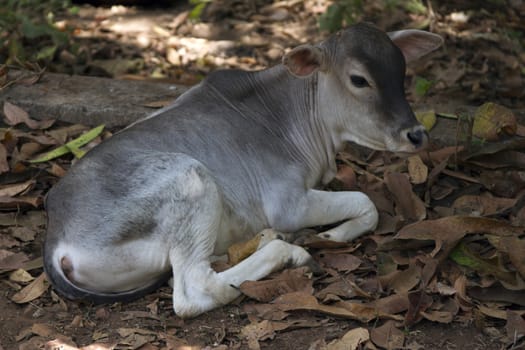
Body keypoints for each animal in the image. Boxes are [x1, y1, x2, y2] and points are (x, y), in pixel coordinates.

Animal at [43, 22, 440, 318]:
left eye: (402, 71)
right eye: (359, 79)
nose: (416, 134)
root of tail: (55, 235)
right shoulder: (288, 203)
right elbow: (366, 203)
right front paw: (331, 234)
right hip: (189, 178)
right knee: (193, 291)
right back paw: (287, 250)